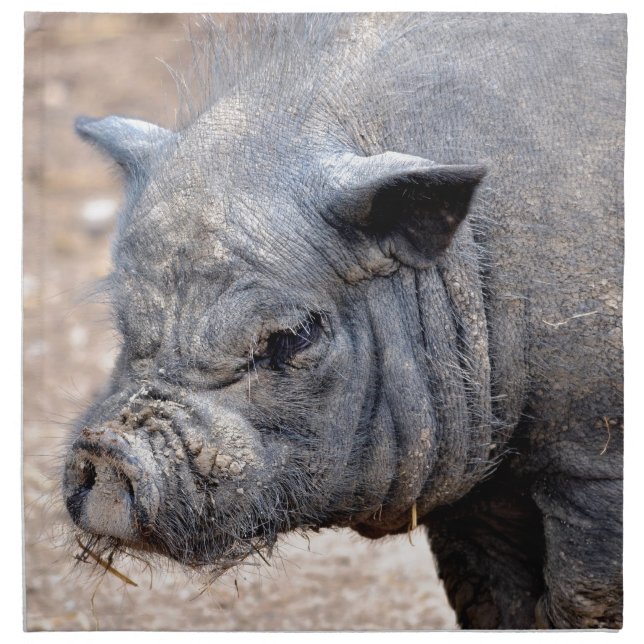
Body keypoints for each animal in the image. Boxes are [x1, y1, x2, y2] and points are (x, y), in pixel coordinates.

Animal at [63, 14, 625, 629]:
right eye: (123, 324)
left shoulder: (596, 461)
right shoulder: (478, 494)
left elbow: (584, 598)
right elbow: (493, 599)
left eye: (291, 337)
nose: (106, 449)